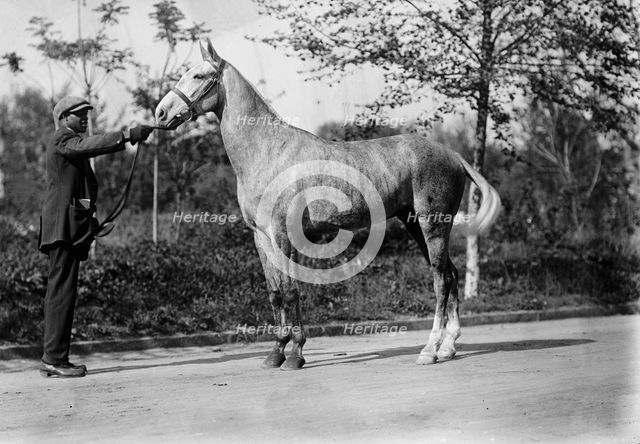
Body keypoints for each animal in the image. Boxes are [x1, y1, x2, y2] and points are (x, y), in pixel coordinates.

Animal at [155, 38, 502, 370]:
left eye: (199, 76)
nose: (160, 113)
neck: (268, 151)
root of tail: (452, 154)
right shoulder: (261, 237)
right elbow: (275, 293)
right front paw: (275, 354)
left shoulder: (284, 235)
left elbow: (292, 292)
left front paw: (295, 355)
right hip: (415, 223)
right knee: (451, 274)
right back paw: (448, 347)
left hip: (433, 224)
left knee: (441, 279)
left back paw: (429, 351)